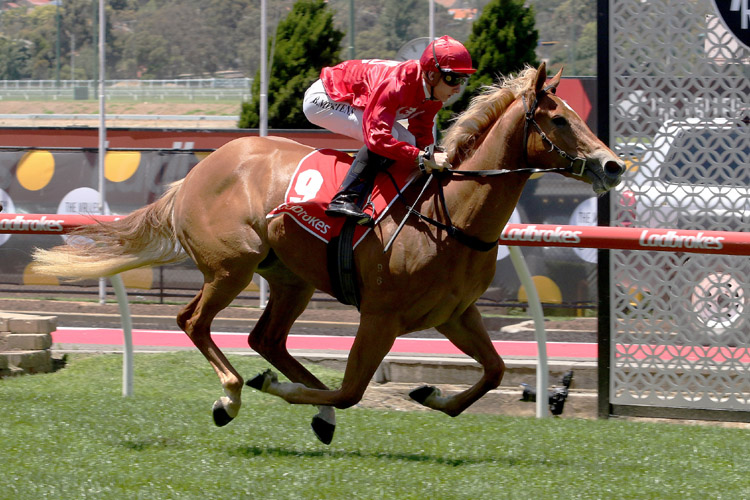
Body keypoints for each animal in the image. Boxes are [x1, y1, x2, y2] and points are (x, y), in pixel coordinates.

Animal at [32, 63, 624, 446]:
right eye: (560, 119)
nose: (613, 165)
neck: (451, 212)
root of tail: (197, 173)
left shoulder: (455, 313)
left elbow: (496, 372)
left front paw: (432, 394)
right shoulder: (381, 315)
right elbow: (351, 390)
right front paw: (280, 392)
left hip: (290, 277)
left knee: (265, 339)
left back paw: (292, 396)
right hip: (233, 265)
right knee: (194, 321)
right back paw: (232, 394)